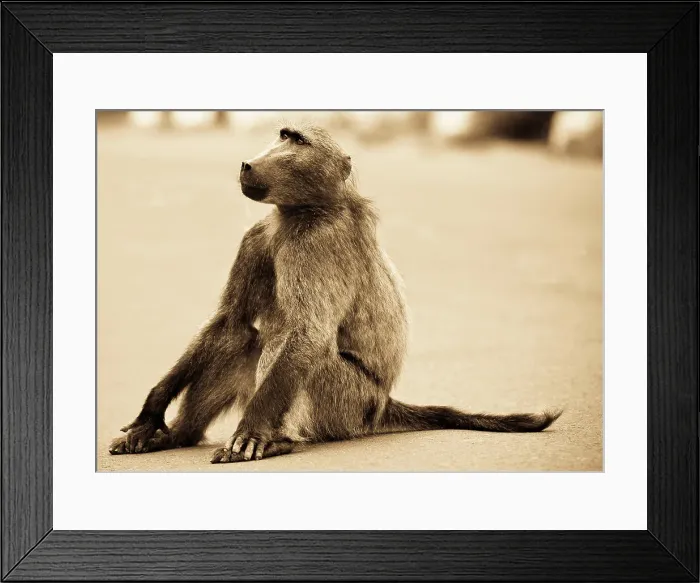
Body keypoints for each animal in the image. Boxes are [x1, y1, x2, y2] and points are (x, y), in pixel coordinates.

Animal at [109, 123, 562, 464]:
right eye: (283, 135)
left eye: (297, 141)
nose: (247, 163)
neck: (303, 212)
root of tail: (382, 404)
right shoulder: (255, 236)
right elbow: (229, 320)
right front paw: (151, 412)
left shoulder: (316, 246)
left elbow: (308, 334)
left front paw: (252, 431)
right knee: (243, 338)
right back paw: (176, 436)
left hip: (347, 403)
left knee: (285, 344)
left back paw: (279, 440)